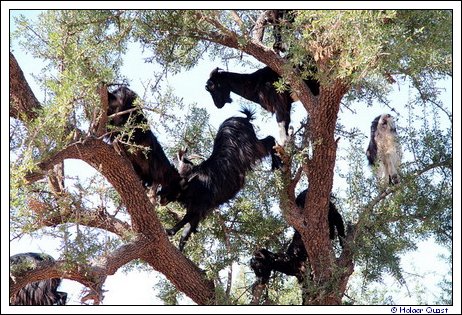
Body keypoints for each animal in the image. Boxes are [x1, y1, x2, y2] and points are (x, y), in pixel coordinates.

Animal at [158, 110, 282, 253]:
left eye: (174, 184)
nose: (160, 197)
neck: (195, 182)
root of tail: (245, 119)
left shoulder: (201, 204)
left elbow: (186, 220)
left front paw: (169, 231)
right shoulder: (200, 208)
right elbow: (188, 229)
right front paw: (180, 249)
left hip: (252, 148)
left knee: (269, 139)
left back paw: (276, 164)